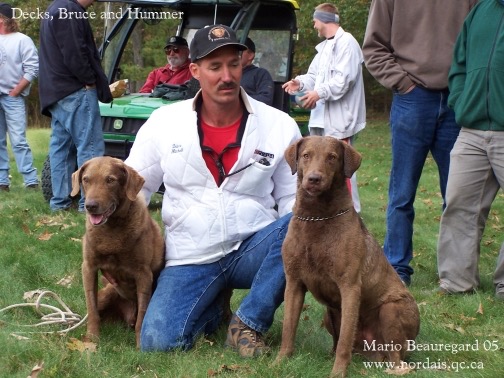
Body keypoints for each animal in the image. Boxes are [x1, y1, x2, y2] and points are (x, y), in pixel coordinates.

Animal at [71, 157, 164, 348]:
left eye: (110, 180)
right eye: (86, 179)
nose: (90, 206)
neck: (111, 229)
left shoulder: (143, 274)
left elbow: (142, 316)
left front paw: (140, 346)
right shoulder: (88, 267)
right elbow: (91, 308)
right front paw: (91, 340)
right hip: (107, 293)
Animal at [278, 137, 420, 378]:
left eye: (332, 157)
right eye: (306, 155)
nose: (314, 179)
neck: (317, 217)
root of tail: (372, 353)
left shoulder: (350, 288)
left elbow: (345, 339)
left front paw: (337, 373)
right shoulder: (294, 283)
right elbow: (288, 328)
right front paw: (279, 362)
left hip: (391, 310)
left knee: (396, 357)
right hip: (328, 315)